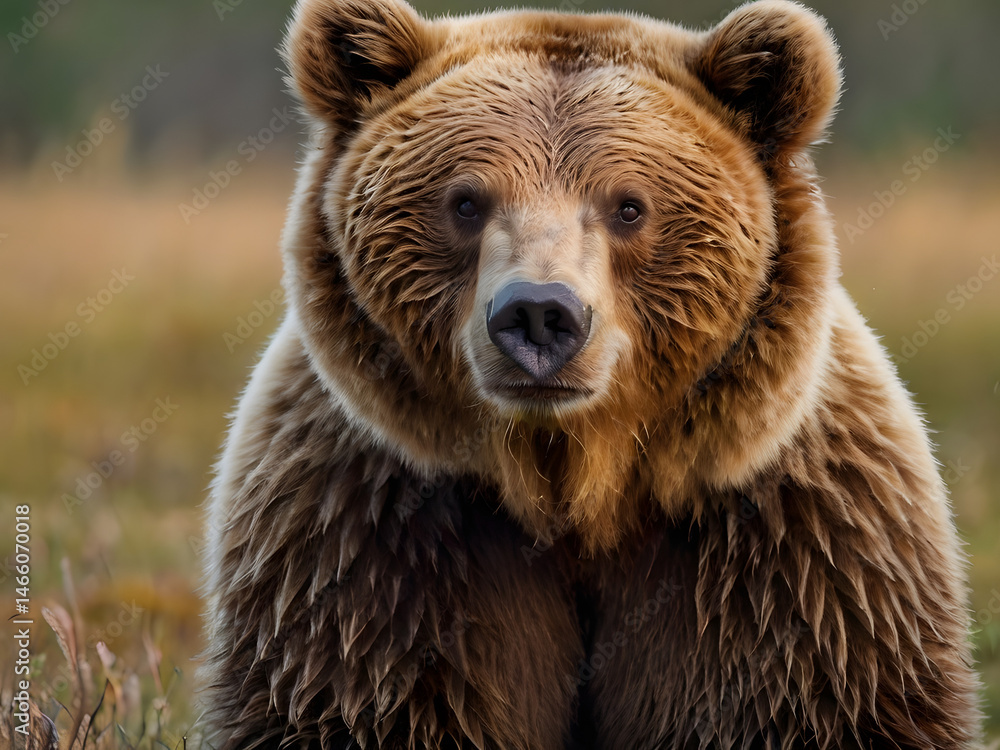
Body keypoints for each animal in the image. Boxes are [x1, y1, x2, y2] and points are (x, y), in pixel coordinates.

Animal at [199, 0, 983, 747]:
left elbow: (805, 703)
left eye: (629, 205)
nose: (540, 314)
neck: (574, 484)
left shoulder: (787, 559)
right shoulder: (373, 544)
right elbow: (358, 701)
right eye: (465, 200)